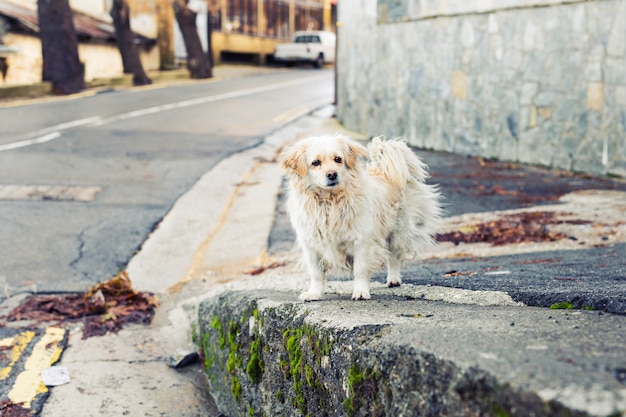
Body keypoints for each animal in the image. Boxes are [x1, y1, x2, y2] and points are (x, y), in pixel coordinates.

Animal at [280, 135, 442, 300]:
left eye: (338, 159)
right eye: (315, 162)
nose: (332, 174)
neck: (330, 202)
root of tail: (382, 171)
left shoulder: (361, 243)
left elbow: (360, 271)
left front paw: (361, 291)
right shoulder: (311, 246)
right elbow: (316, 274)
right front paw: (314, 293)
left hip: (397, 232)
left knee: (394, 256)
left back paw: (393, 279)